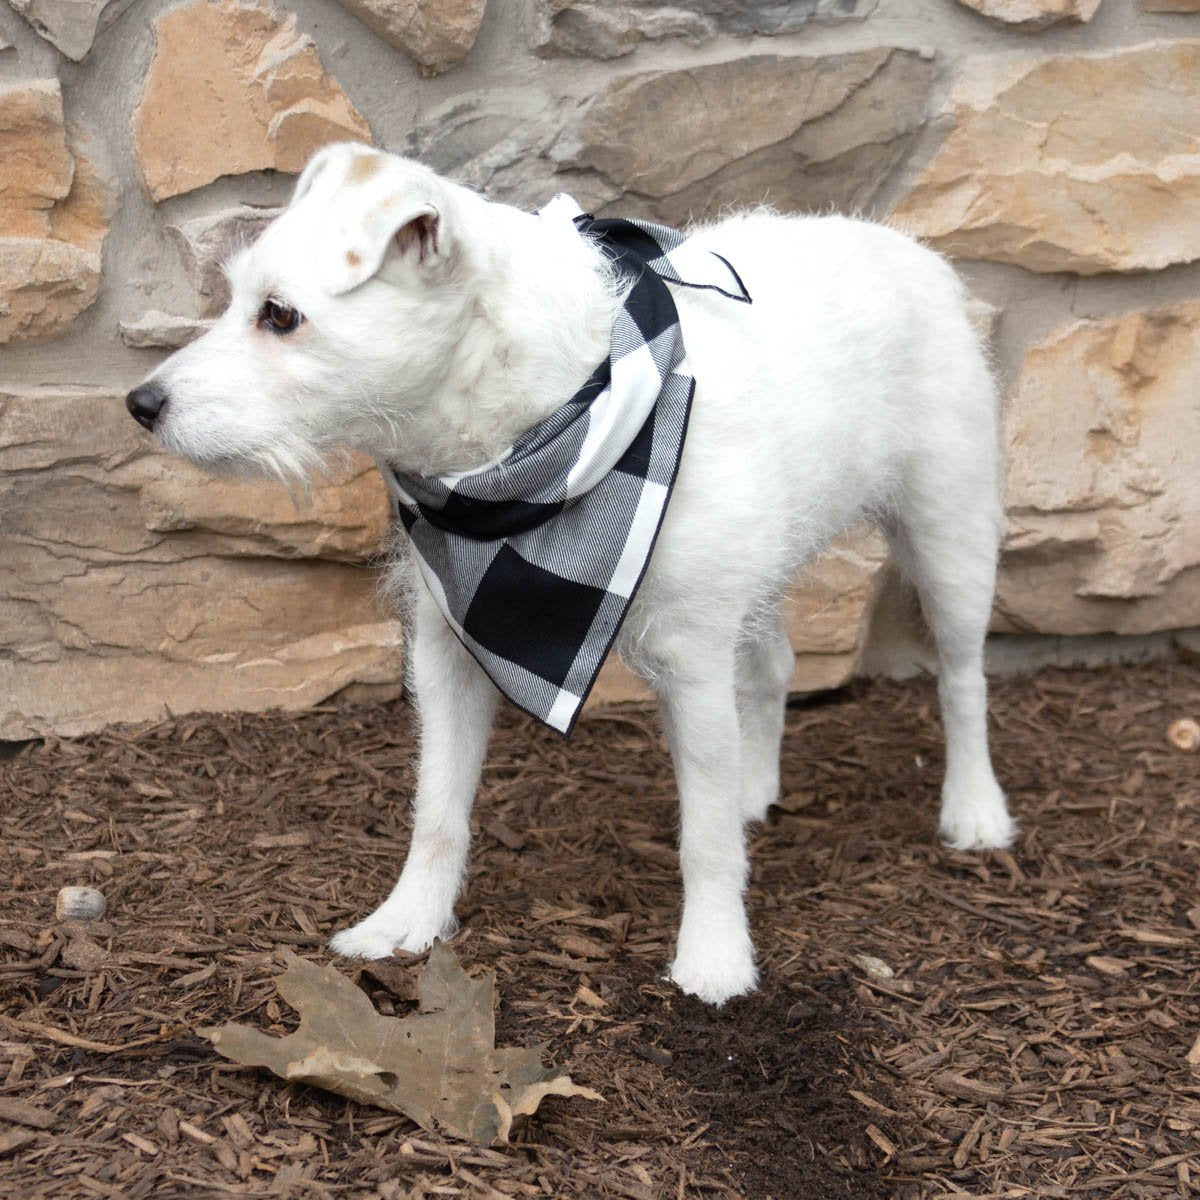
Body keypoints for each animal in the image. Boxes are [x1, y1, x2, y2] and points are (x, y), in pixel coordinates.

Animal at [129, 142, 1012, 1003]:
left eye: (280, 315)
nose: (142, 404)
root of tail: (904, 246)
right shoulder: (450, 652)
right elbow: (437, 808)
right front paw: (408, 922)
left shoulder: (691, 664)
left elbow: (703, 840)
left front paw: (716, 959)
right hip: (756, 577)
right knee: (772, 671)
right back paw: (756, 788)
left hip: (949, 538)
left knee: (964, 680)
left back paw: (974, 811)